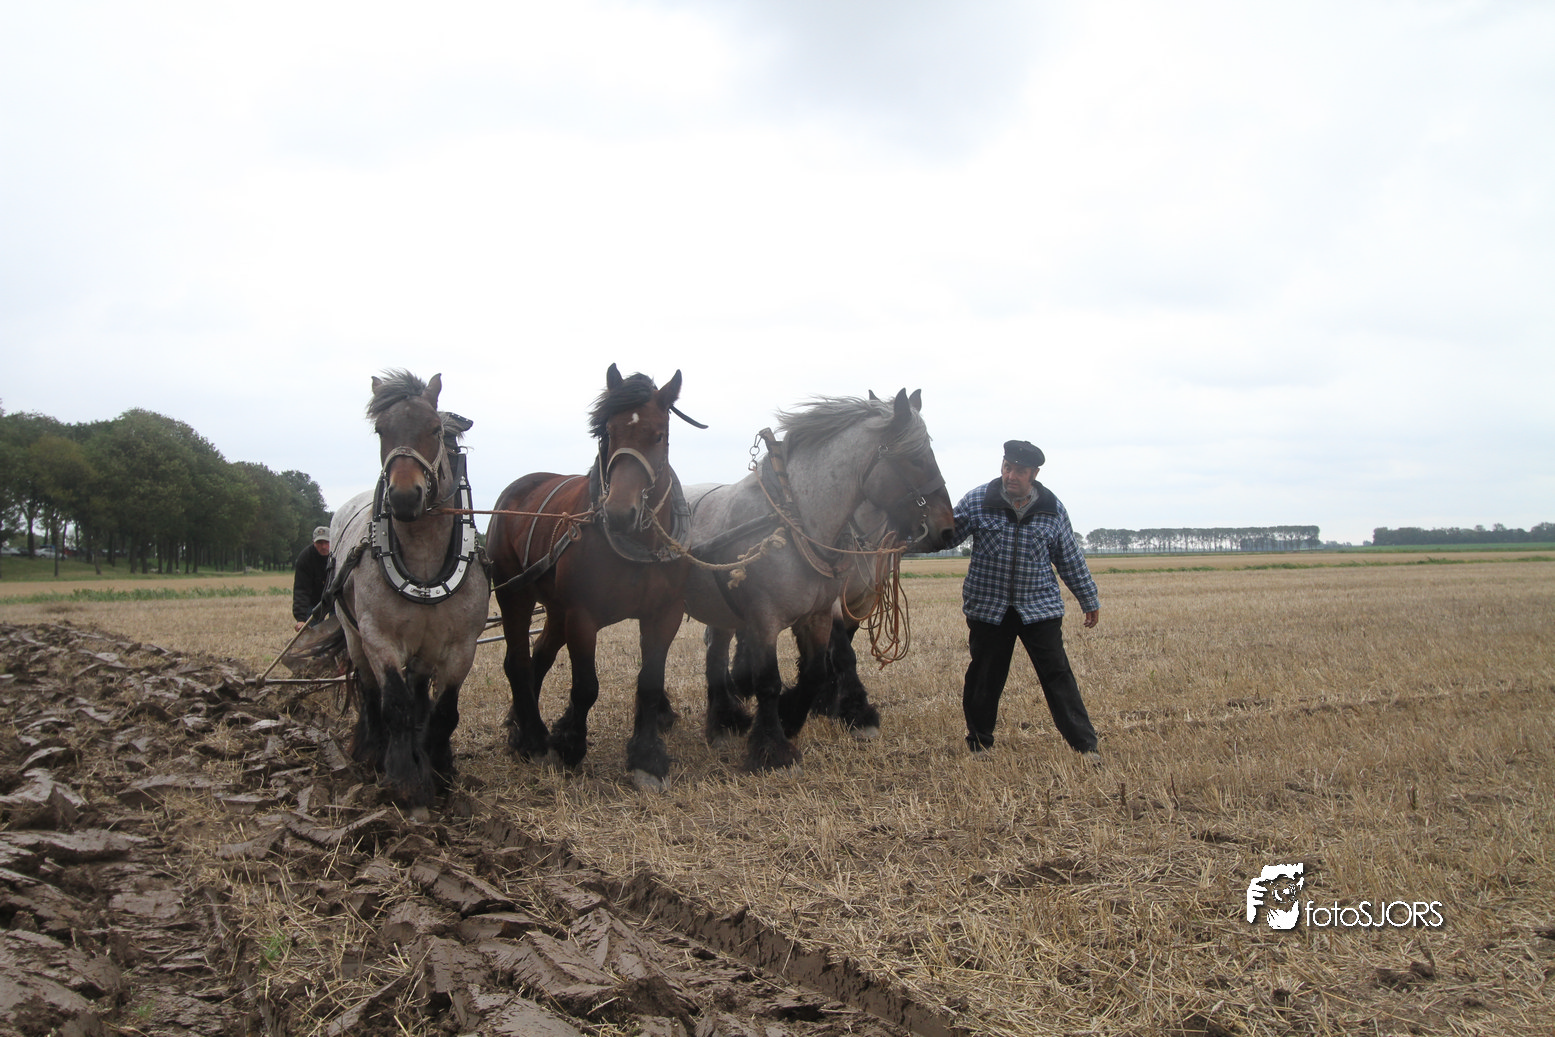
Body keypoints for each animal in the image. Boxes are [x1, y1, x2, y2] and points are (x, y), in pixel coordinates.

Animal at [326, 371, 490, 810]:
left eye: (434, 429)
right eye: (381, 430)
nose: (402, 496)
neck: (425, 561)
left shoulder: (460, 646)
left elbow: (442, 711)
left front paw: (438, 768)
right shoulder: (379, 638)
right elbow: (395, 705)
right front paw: (403, 780)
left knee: (419, 696)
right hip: (354, 637)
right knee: (370, 692)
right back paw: (370, 750)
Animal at [486, 364, 698, 791]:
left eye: (659, 434)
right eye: (607, 433)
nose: (619, 513)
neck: (640, 545)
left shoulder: (663, 614)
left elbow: (650, 683)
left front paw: (646, 758)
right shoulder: (582, 617)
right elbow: (586, 687)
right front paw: (569, 743)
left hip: (554, 609)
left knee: (539, 659)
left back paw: (521, 725)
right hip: (516, 594)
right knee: (517, 662)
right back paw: (532, 740)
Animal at [683, 389, 956, 772]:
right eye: (917, 458)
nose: (947, 530)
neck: (797, 521)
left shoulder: (830, 610)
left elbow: (818, 668)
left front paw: (800, 712)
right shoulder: (768, 618)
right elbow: (779, 677)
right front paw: (774, 747)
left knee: (716, 651)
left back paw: (726, 719)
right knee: (716, 653)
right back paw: (719, 719)